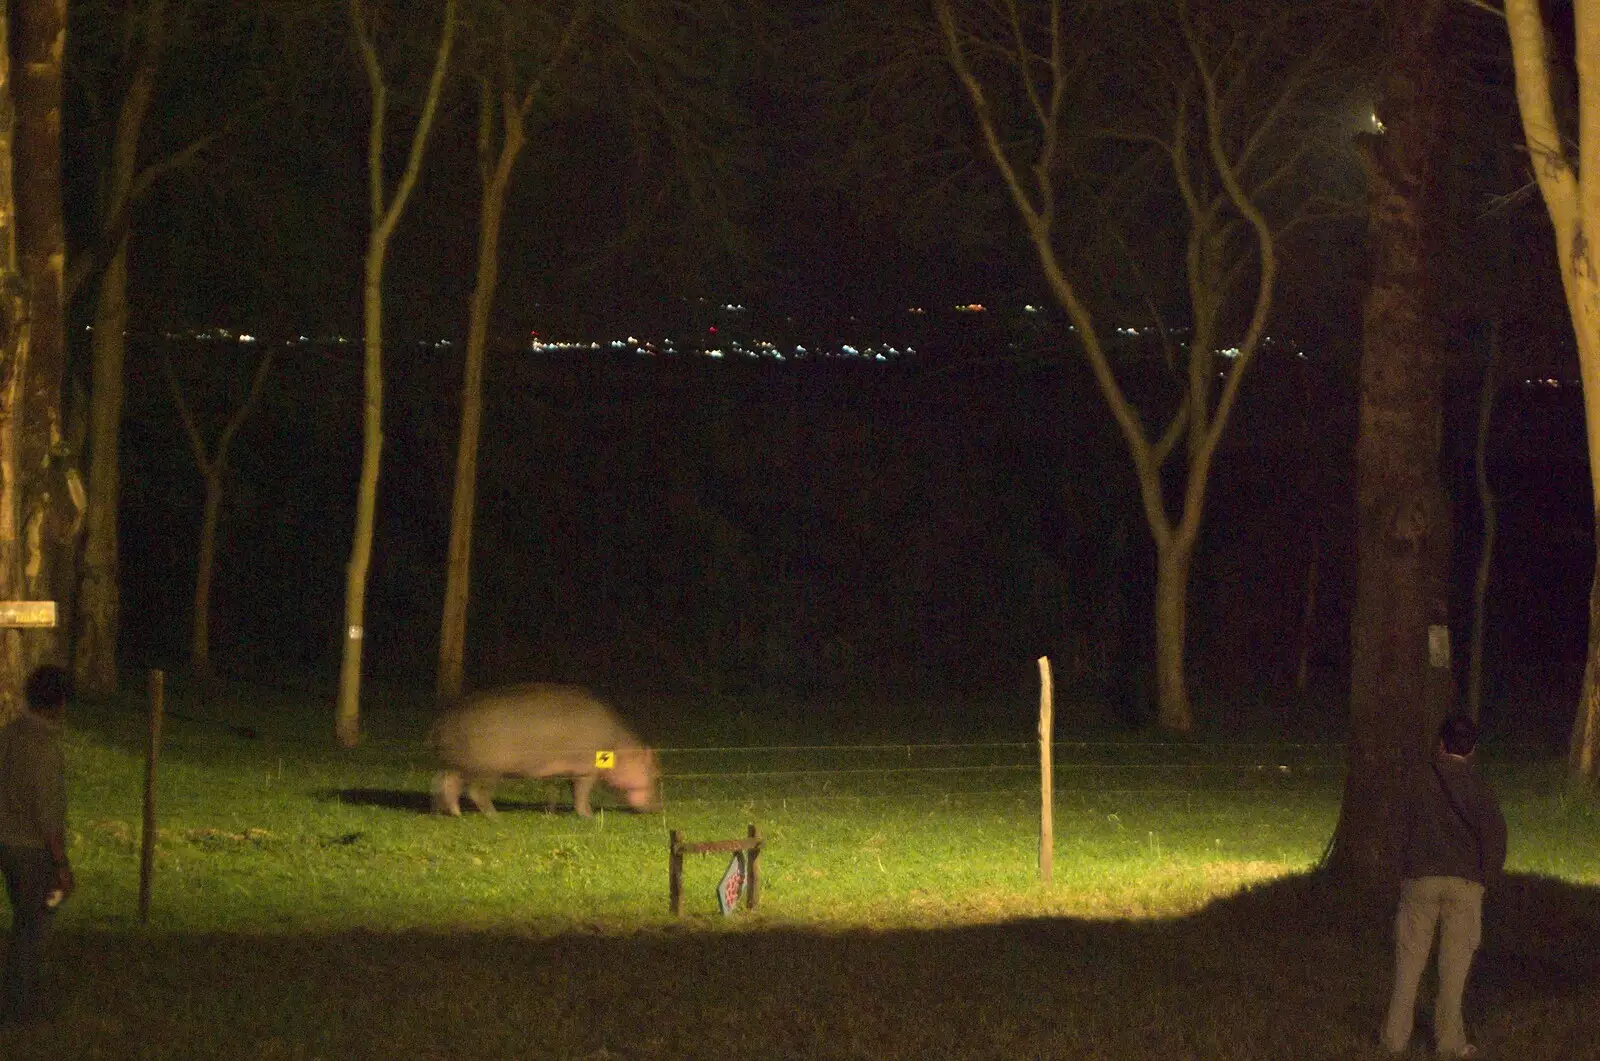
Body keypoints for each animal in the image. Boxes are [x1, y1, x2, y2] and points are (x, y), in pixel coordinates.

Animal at [425, 684, 662, 816]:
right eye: (655, 773)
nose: (658, 808)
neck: (621, 749)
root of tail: (441, 721)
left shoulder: (562, 770)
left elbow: (558, 791)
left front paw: (552, 812)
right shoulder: (587, 771)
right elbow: (581, 793)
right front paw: (589, 816)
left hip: (455, 765)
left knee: (445, 783)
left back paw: (452, 814)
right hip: (488, 770)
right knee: (475, 792)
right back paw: (495, 817)